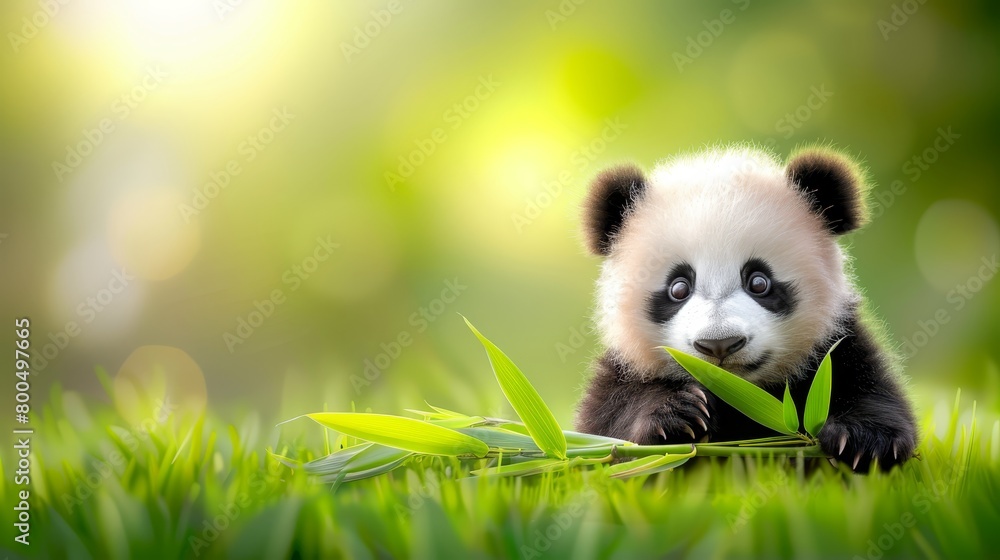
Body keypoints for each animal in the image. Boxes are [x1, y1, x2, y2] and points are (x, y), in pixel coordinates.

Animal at [574, 145, 917, 472]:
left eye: (759, 282)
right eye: (679, 288)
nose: (719, 344)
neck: (737, 393)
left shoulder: (837, 345)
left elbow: (870, 390)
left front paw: (865, 441)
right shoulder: (623, 369)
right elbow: (607, 430)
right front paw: (677, 417)